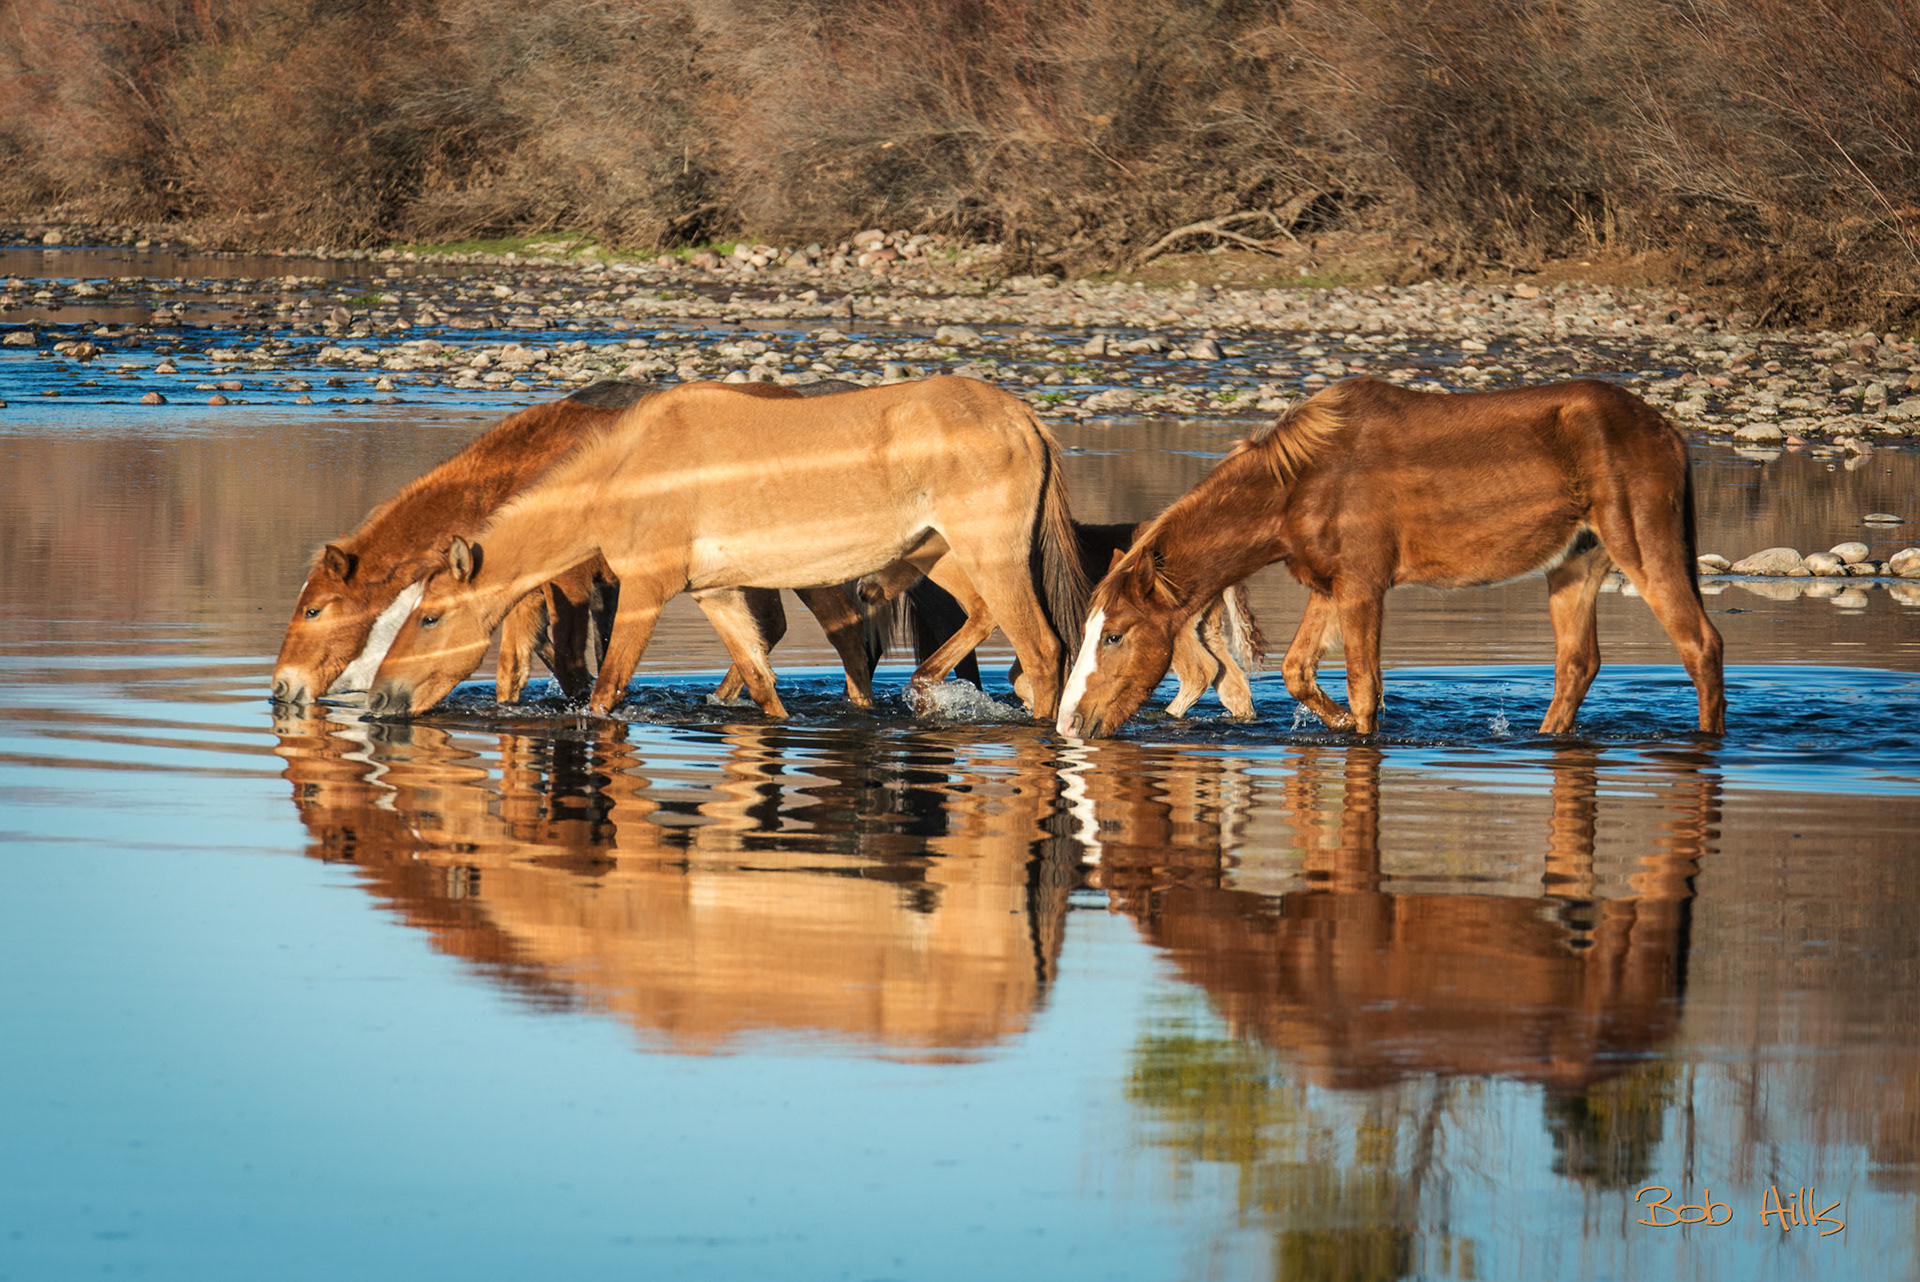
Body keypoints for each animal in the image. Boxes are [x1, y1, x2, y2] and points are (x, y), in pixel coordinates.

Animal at [368, 376, 1090, 720]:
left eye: (429, 617)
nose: (379, 697)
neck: (627, 470)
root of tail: (1023, 416)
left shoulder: (645, 591)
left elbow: (606, 691)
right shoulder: (714, 592)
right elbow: (762, 683)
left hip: (990, 553)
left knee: (1044, 651)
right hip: (945, 554)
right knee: (983, 624)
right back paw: (923, 687)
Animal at [1057, 377, 1725, 738]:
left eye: (1115, 635)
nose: (1067, 724)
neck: (1301, 485)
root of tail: (1668, 430)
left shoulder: (1362, 586)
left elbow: (1363, 687)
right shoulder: (1327, 584)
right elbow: (1298, 671)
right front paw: (1334, 729)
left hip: (1643, 546)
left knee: (1700, 645)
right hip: (1577, 562)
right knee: (1577, 665)